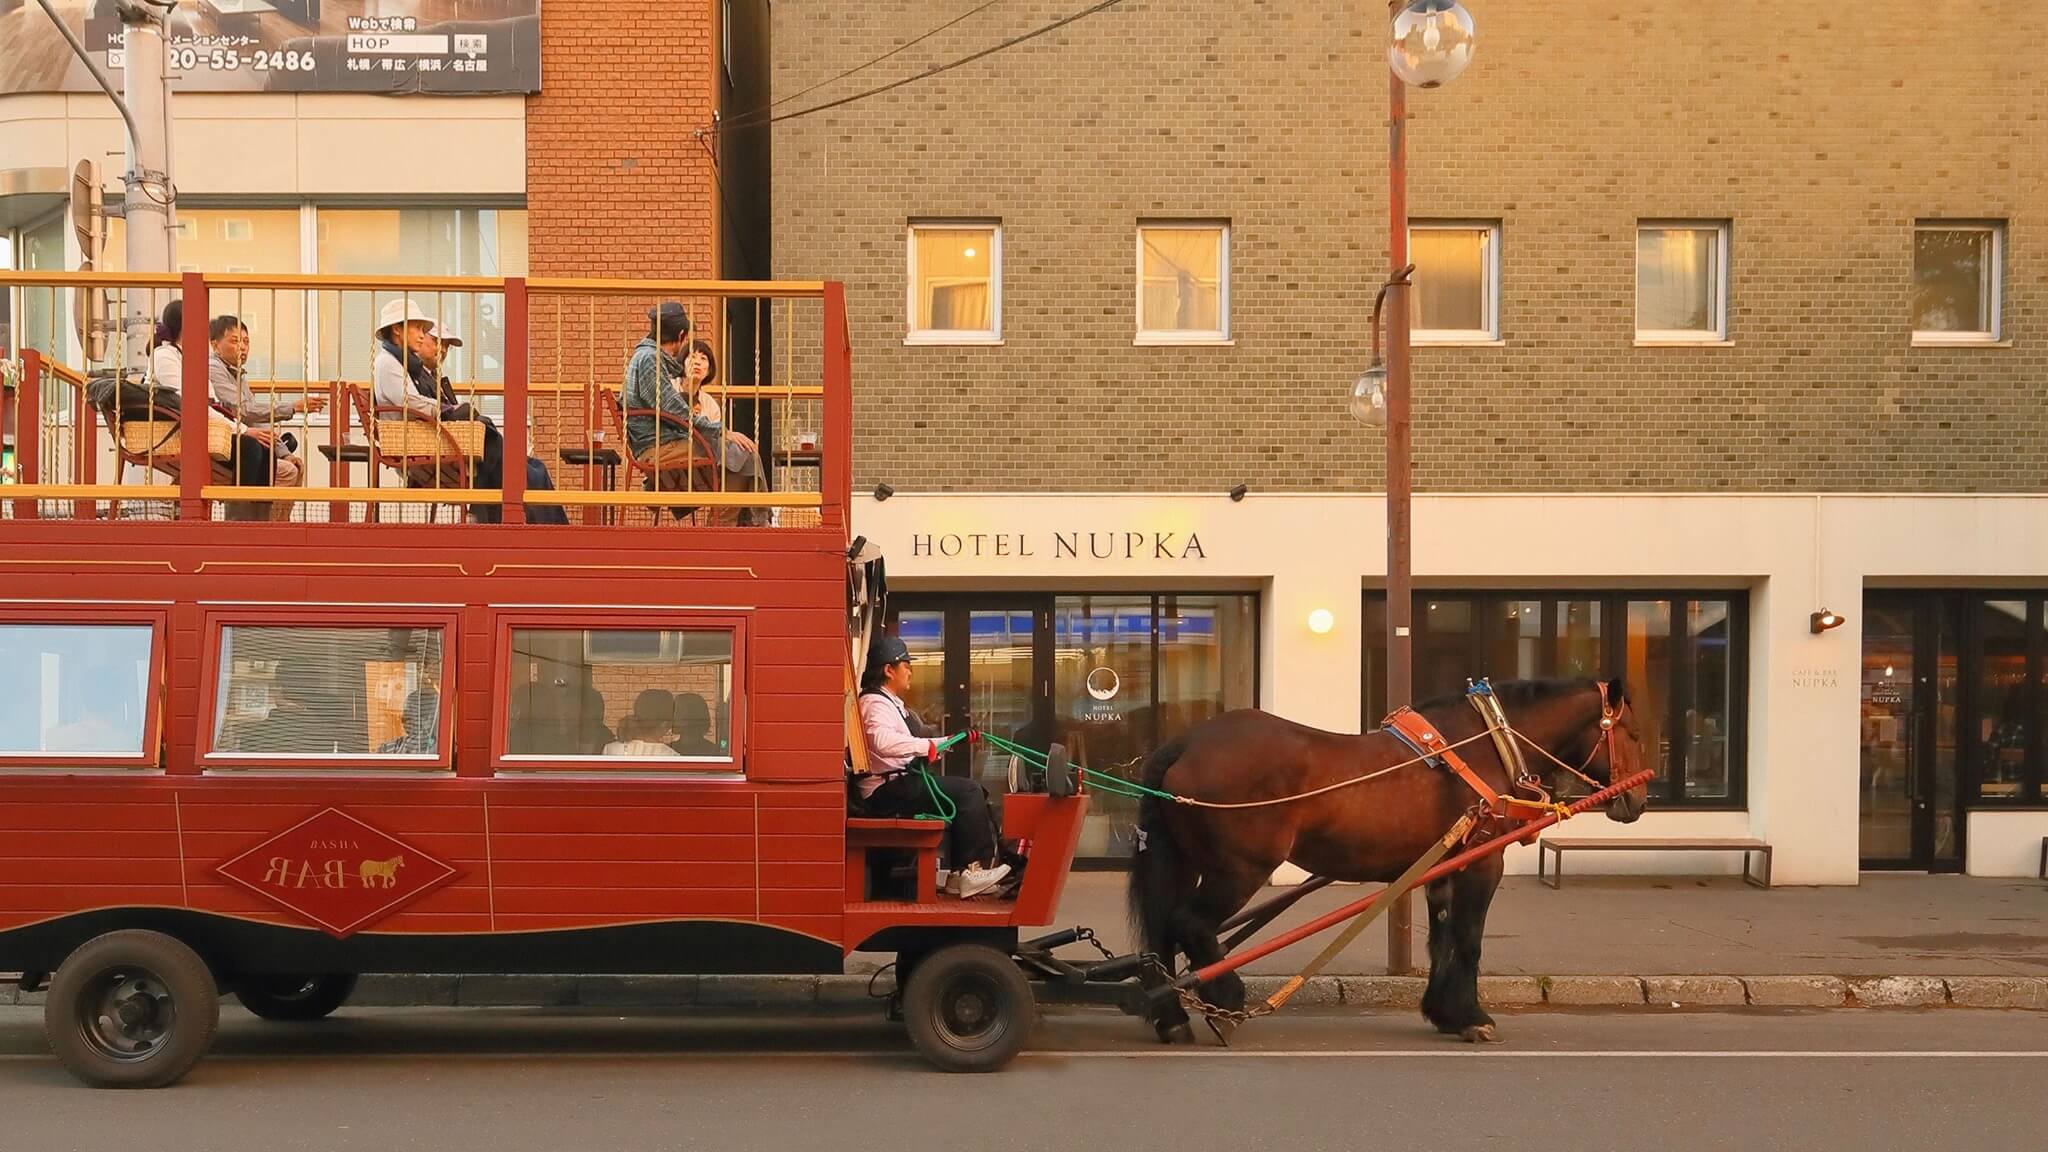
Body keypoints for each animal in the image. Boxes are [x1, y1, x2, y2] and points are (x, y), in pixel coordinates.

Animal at [1122, 672, 1646, 1041]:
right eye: (1633, 732)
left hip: (1187, 864)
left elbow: (1443, 939)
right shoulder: (1480, 863)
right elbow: (1469, 940)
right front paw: (1472, 1015)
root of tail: (1185, 744)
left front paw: (1444, 1011)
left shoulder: (1440, 868)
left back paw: (1171, 1016)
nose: (1638, 801)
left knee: (1162, 934)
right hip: (1239, 871)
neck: (1487, 746)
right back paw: (1226, 1001)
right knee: (1191, 924)